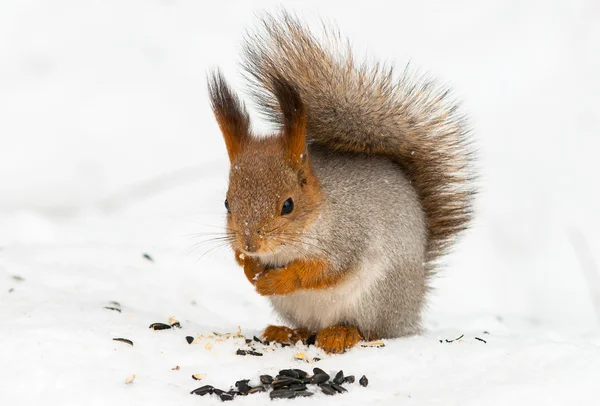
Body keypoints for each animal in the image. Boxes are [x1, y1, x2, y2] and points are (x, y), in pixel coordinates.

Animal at [206, 11, 474, 354]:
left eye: (288, 205)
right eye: (227, 203)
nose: (251, 244)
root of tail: (410, 311)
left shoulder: (349, 236)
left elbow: (324, 270)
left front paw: (276, 279)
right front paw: (248, 265)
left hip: (376, 297)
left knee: (369, 331)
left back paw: (341, 333)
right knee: (307, 328)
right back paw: (286, 332)